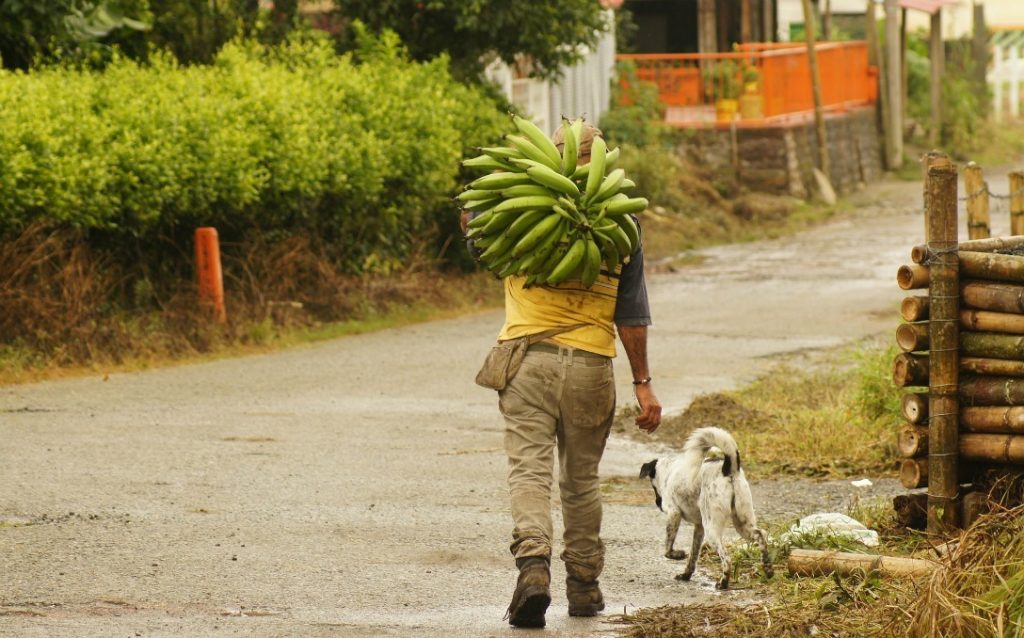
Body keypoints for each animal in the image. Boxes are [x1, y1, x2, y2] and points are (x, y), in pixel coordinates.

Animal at [634, 426, 770, 589]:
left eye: (653, 487)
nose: (658, 504)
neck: (669, 471)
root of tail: (728, 468)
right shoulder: (699, 527)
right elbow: (693, 555)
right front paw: (686, 575)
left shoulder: (674, 513)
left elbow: (667, 549)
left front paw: (678, 555)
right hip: (742, 523)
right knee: (761, 534)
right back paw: (768, 568)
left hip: (712, 529)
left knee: (727, 558)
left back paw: (723, 582)